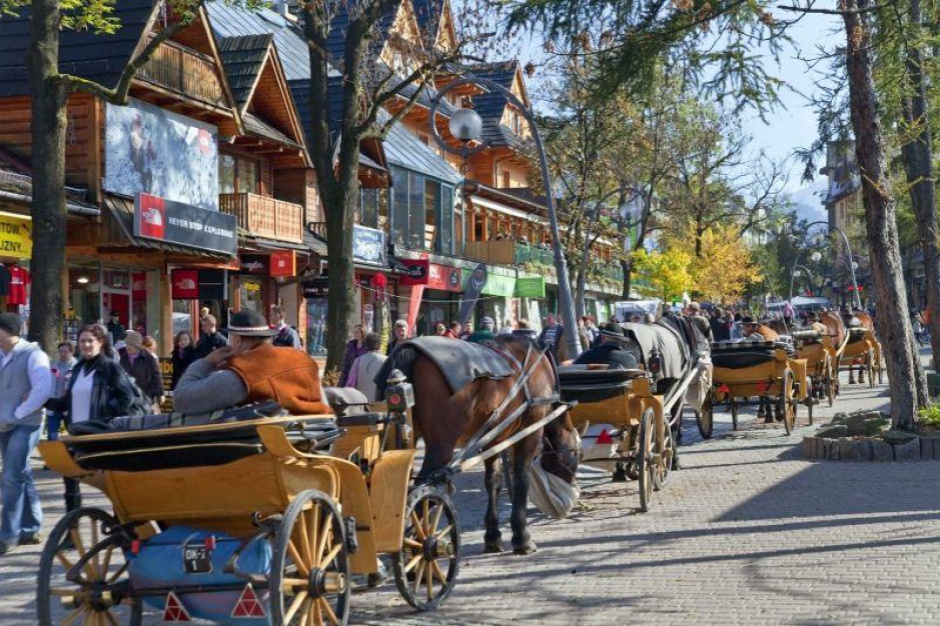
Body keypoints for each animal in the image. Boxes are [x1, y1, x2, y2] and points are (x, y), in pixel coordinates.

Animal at [376, 334, 580, 552]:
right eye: (576, 455)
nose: (572, 492)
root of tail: (410, 349)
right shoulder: (530, 430)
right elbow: (521, 479)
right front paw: (521, 537)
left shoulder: (494, 439)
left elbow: (493, 482)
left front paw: (493, 535)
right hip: (441, 448)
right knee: (422, 490)